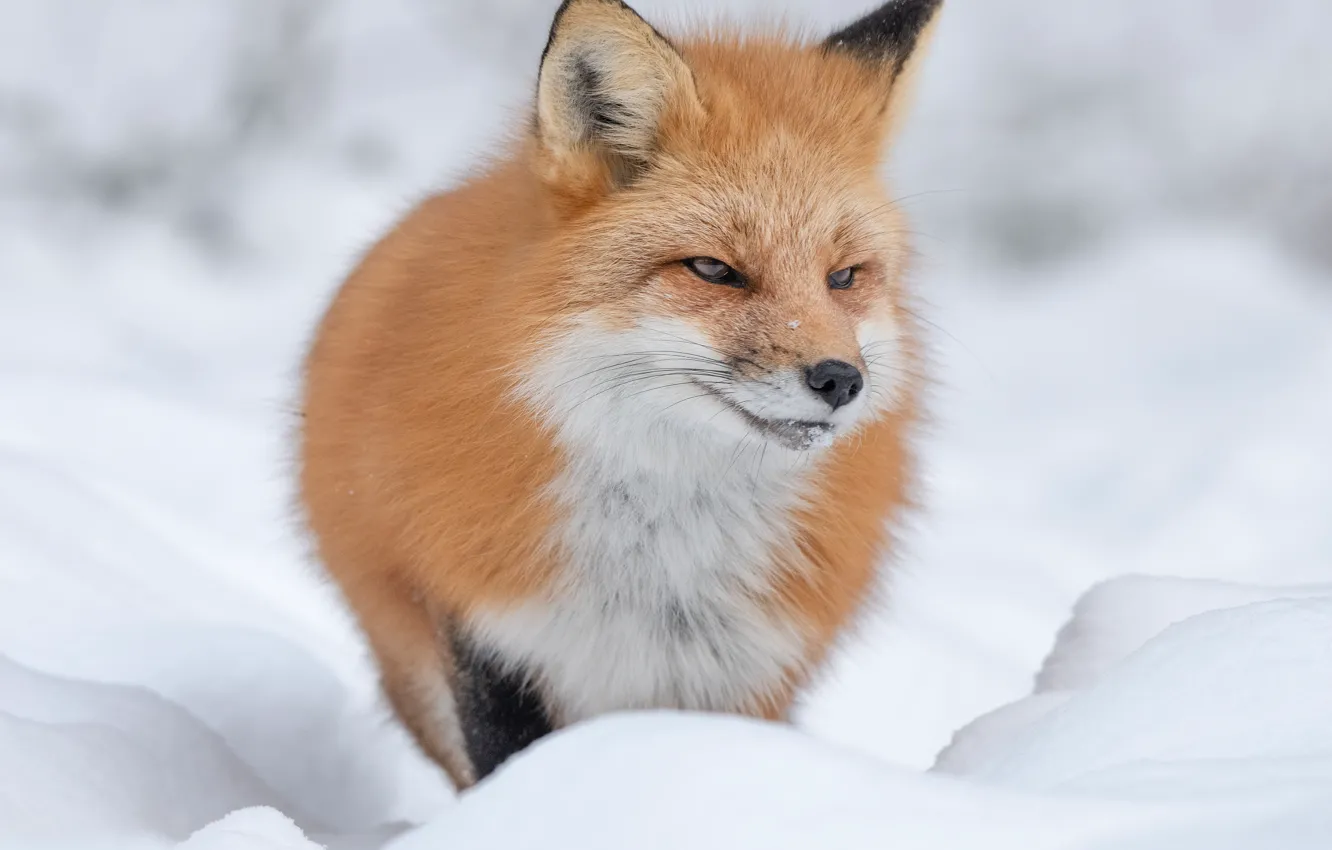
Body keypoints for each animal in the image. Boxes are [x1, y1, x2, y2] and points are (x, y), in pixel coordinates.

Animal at [303, 0, 948, 794]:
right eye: (713, 270)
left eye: (844, 276)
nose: (839, 380)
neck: (656, 570)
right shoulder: (488, 638)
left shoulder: (745, 672)